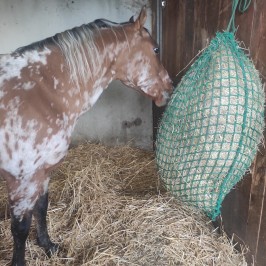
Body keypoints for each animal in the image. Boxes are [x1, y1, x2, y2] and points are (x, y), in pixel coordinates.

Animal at [0, 6, 172, 266]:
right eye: (156, 49)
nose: (169, 88)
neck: (40, 94)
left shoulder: (43, 172)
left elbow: (42, 208)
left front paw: (48, 246)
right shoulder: (22, 179)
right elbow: (20, 229)